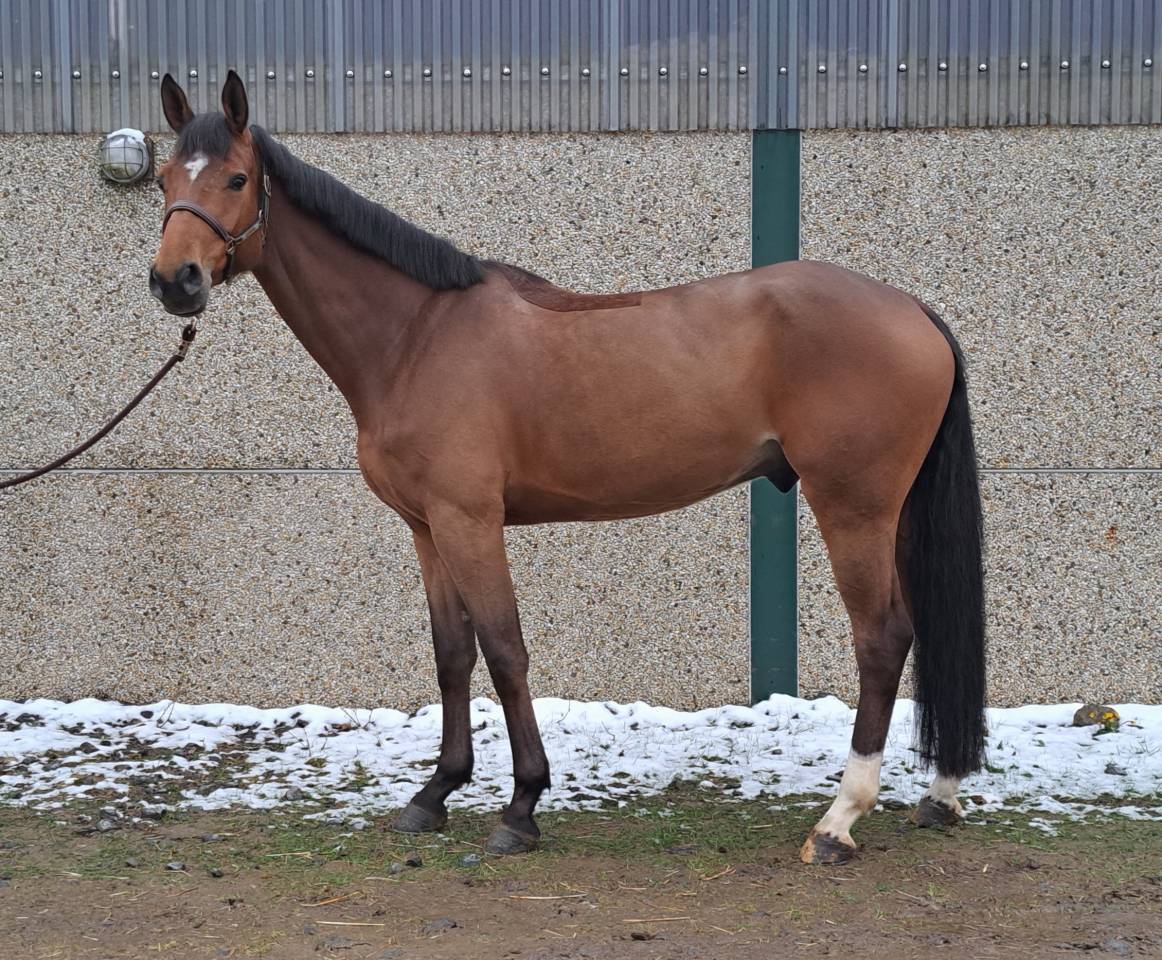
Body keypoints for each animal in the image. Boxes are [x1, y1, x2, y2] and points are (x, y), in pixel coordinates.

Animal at [149, 71, 986, 864]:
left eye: (235, 179)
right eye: (162, 179)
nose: (174, 280)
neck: (415, 337)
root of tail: (911, 309)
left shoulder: (470, 520)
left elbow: (504, 650)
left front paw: (521, 808)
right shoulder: (427, 528)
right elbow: (452, 655)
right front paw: (436, 794)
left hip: (853, 509)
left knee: (882, 638)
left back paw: (838, 821)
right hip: (891, 515)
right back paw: (937, 797)